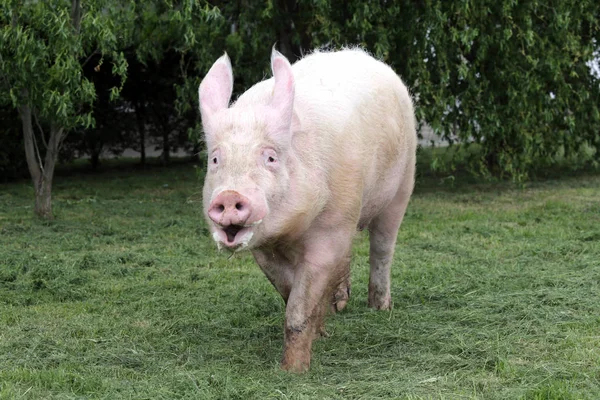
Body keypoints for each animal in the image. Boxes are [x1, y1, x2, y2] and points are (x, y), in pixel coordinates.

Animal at [199, 47, 414, 372]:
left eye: (271, 158)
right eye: (215, 159)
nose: (229, 195)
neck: (291, 232)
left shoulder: (331, 228)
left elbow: (299, 307)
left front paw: (293, 371)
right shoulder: (264, 248)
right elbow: (289, 290)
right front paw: (321, 332)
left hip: (403, 183)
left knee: (382, 248)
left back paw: (379, 307)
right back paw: (340, 306)